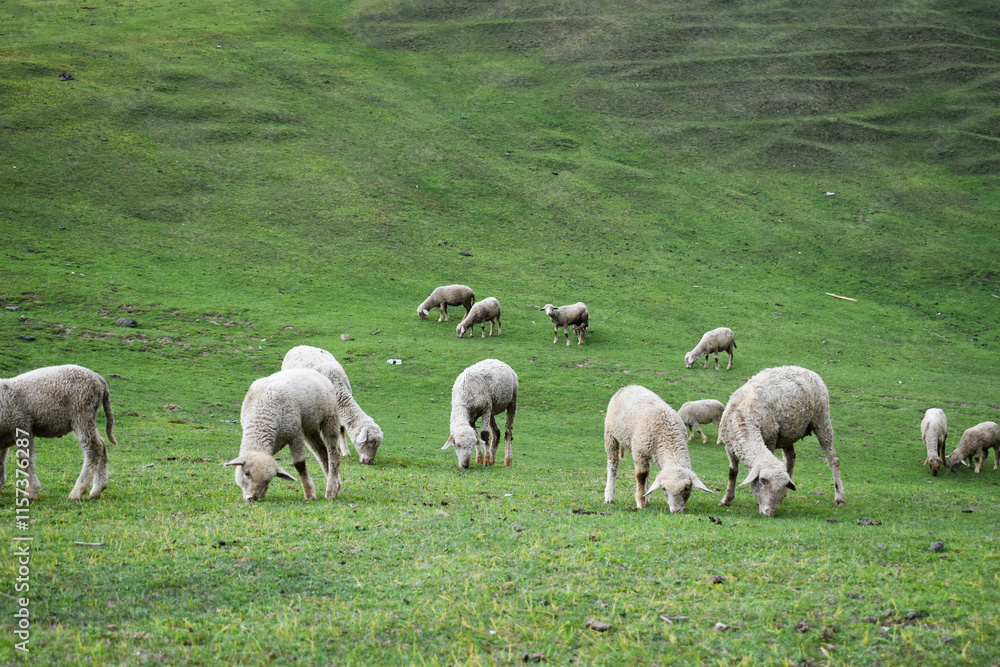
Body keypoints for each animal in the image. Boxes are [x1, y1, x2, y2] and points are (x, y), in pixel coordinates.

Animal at [0, 364, 116, 501]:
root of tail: (100, 380)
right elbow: (1, 460)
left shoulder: (22, 423)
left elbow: (25, 458)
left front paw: (31, 491)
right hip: (87, 417)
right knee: (101, 444)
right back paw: (97, 489)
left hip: (82, 413)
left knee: (94, 447)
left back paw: (77, 491)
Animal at [224, 368, 344, 502]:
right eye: (246, 473)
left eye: (267, 480)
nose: (251, 498)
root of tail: (312, 371)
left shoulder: (295, 434)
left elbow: (299, 463)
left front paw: (309, 493)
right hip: (310, 428)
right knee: (322, 452)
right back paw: (337, 485)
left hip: (330, 418)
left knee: (333, 453)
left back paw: (331, 490)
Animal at [717, 365, 845, 516]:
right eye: (763, 480)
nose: (770, 512)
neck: (743, 419)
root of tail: (804, 369)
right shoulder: (729, 448)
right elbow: (732, 472)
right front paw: (726, 500)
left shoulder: (770, 439)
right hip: (788, 432)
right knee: (790, 458)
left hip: (821, 417)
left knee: (833, 458)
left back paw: (840, 497)